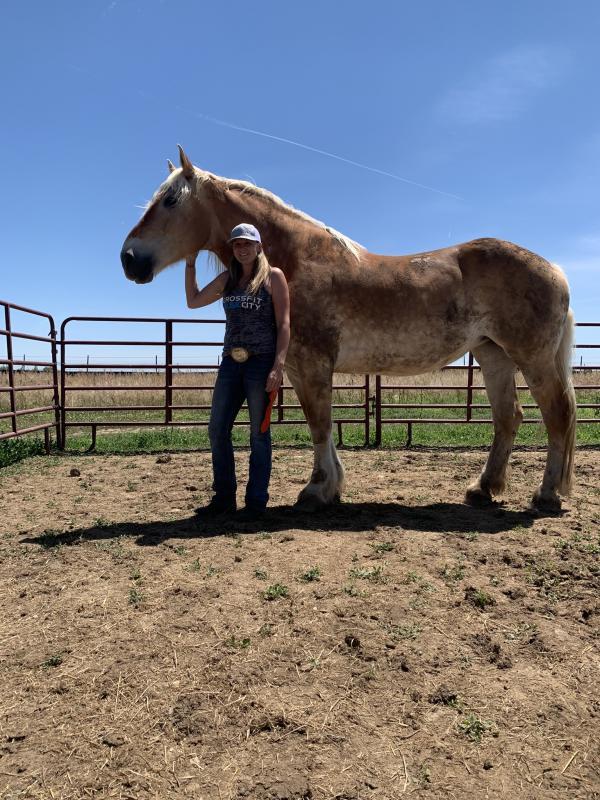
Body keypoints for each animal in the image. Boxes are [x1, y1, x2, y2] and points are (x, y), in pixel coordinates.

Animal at [121, 146, 576, 512]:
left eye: (171, 200)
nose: (129, 259)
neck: (297, 261)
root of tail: (554, 268)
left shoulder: (313, 365)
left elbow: (320, 423)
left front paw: (317, 490)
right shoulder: (295, 368)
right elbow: (318, 424)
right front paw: (329, 487)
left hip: (531, 357)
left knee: (557, 413)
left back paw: (547, 495)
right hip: (492, 354)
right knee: (508, 417)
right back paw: (484, 489)